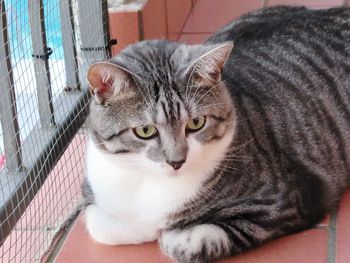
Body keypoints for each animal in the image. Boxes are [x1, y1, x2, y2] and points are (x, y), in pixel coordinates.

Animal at [83, 5, 350, 263]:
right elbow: (98, 222)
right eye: (145, 131)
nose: (176, 162)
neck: (151, 185)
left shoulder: (285, 202)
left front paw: (168, 233)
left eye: (196, 123)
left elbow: (188, 241)